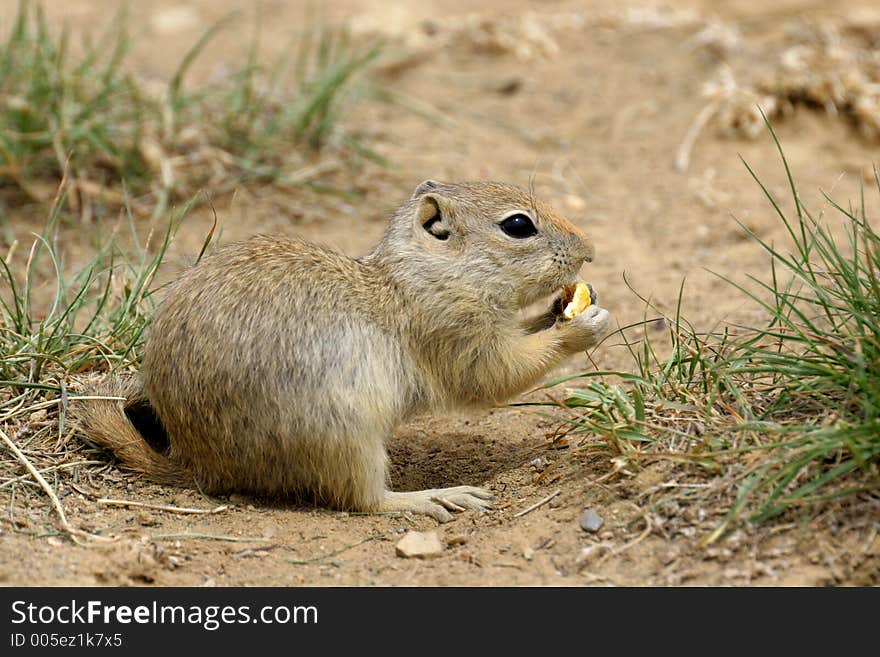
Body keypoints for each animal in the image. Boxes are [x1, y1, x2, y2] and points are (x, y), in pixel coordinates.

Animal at [74, 179, 612, 516]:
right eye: (518, 226)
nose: (589, 251)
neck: (421, 273)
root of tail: (203, 466)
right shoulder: (454, 330)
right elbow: (496, 374)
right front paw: (581, 328)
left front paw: (561, 308)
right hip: (345, 435)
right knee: (362, 500)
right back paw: (435, 498)